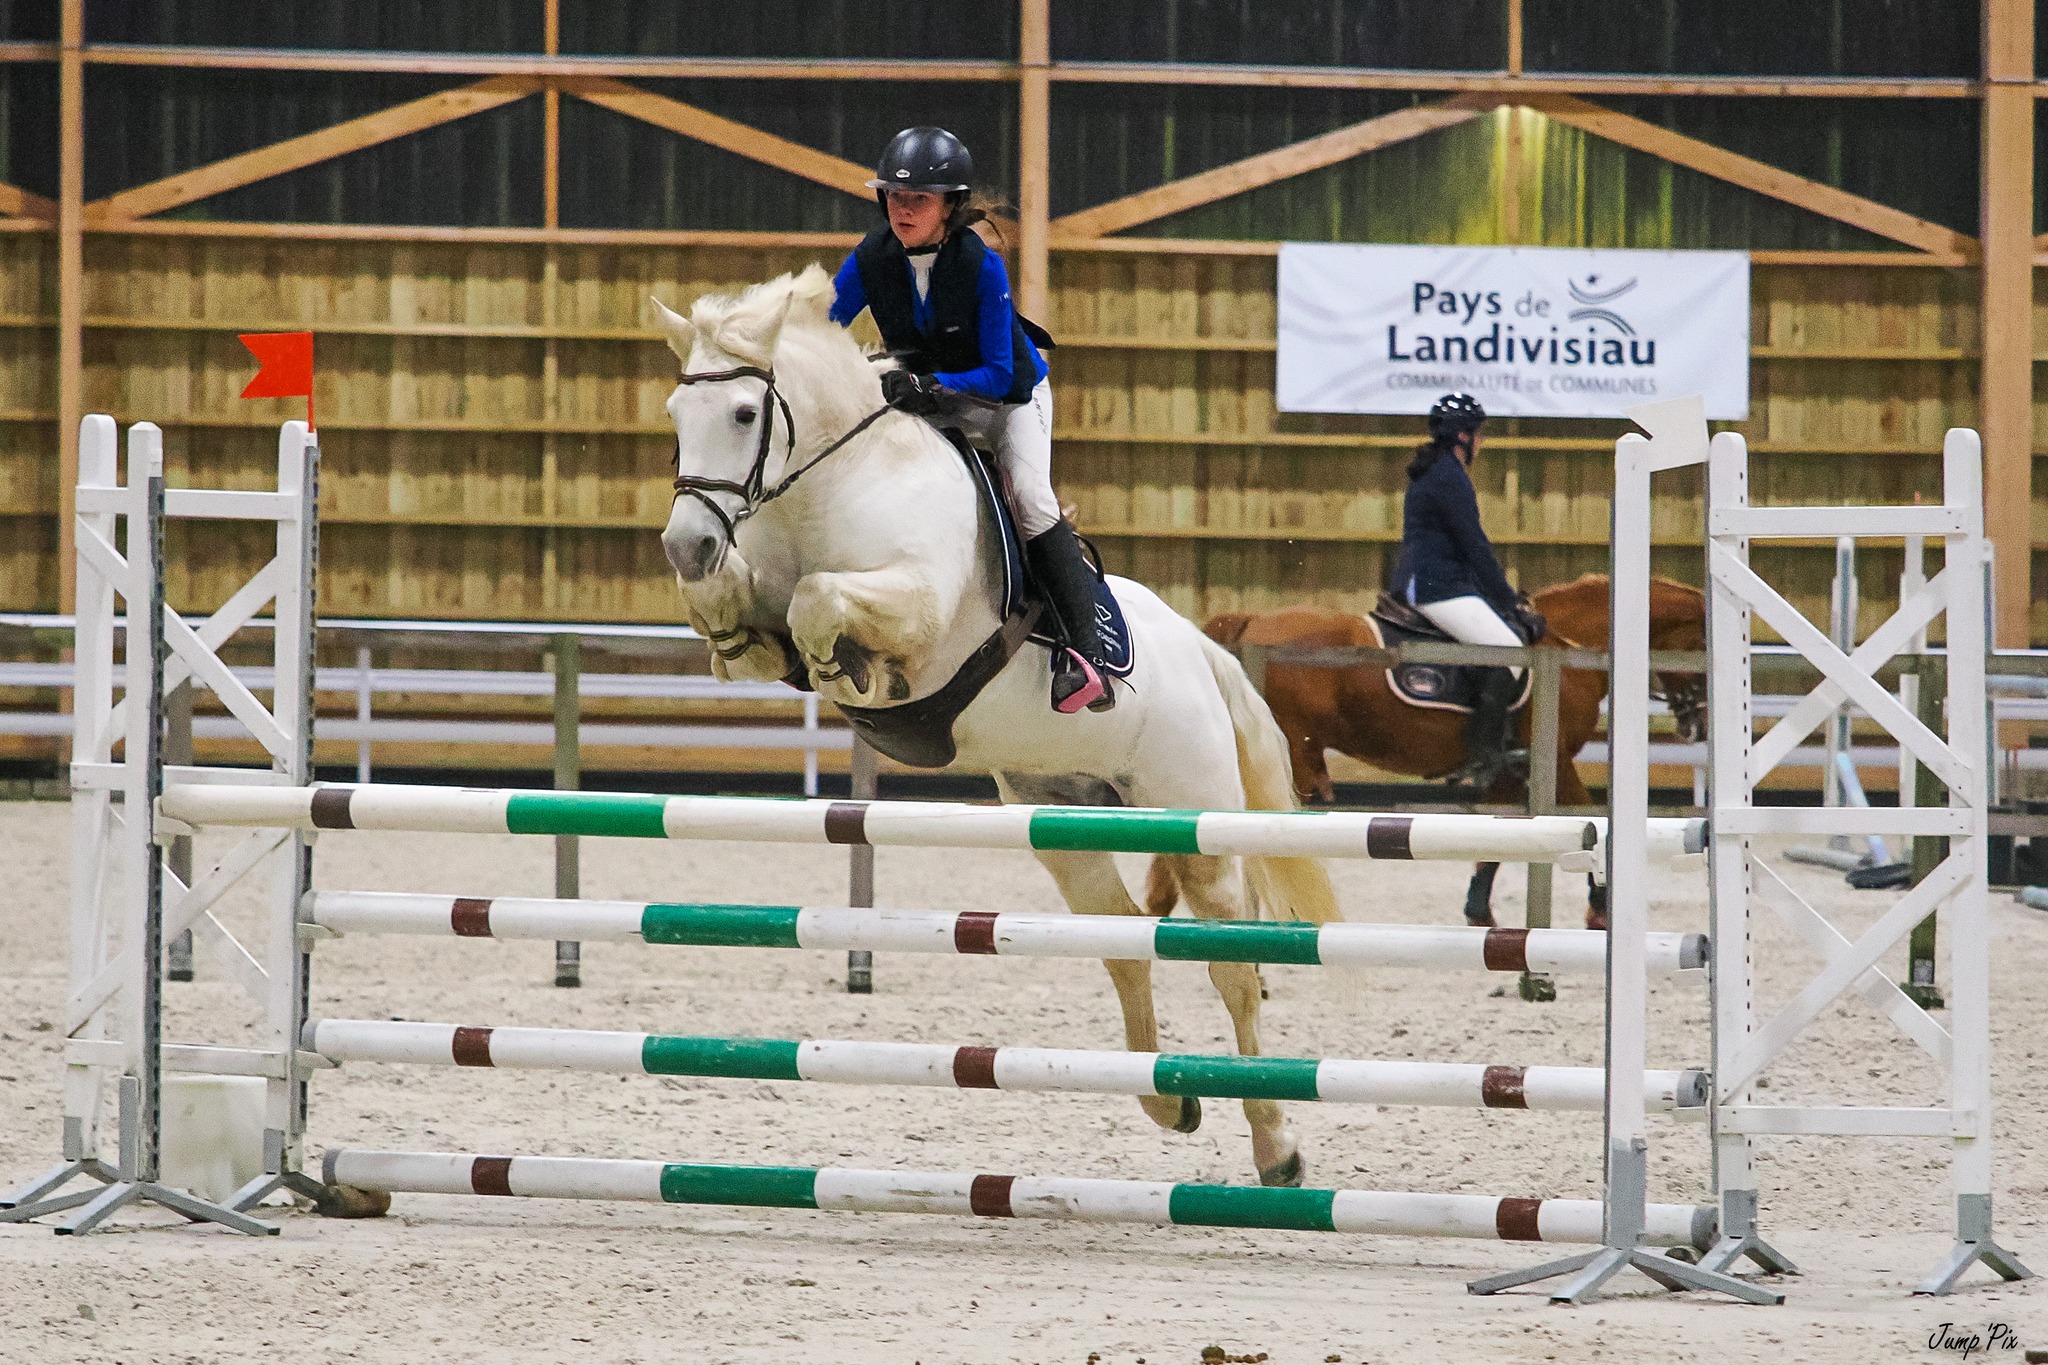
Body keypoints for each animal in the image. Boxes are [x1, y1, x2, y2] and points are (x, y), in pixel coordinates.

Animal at [647, 263, 1335, 1186]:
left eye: (745, 415)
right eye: (676, 414)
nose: (685, 545)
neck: (834, 483)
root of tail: (1200, 647)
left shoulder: (922, 611)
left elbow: (820, 600)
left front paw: (851, 667)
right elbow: (746, 614)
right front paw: (741, 620)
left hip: (1194, 822)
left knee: (1232, 961)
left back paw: (1278, 1148)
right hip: (1065, 817)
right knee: (1123, 940)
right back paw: (1170, 1100)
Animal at [1146, 573, 1703, 933]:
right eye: (1702, 644)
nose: (1695, 722)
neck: (1570, 652)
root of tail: (1252, 621)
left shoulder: (1510, 771)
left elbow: (1501, 833)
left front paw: (1478, 912)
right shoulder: (1558, 761)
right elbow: (1587, 819)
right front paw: (1600, 908)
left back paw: (1162, 900)